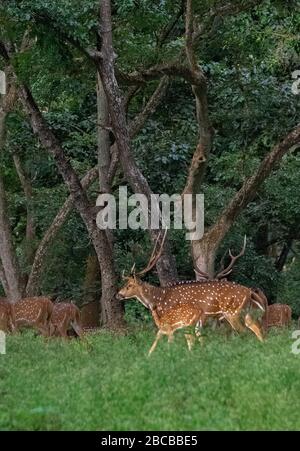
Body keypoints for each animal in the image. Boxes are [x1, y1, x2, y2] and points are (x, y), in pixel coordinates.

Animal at [117, 233, 268, 356]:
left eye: (129, 285)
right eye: (125, 284)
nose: (118, 295)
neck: (159, 298)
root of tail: (249, 291)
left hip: (232, 312)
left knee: (244, 332)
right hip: (245, 312)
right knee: (257, 329)